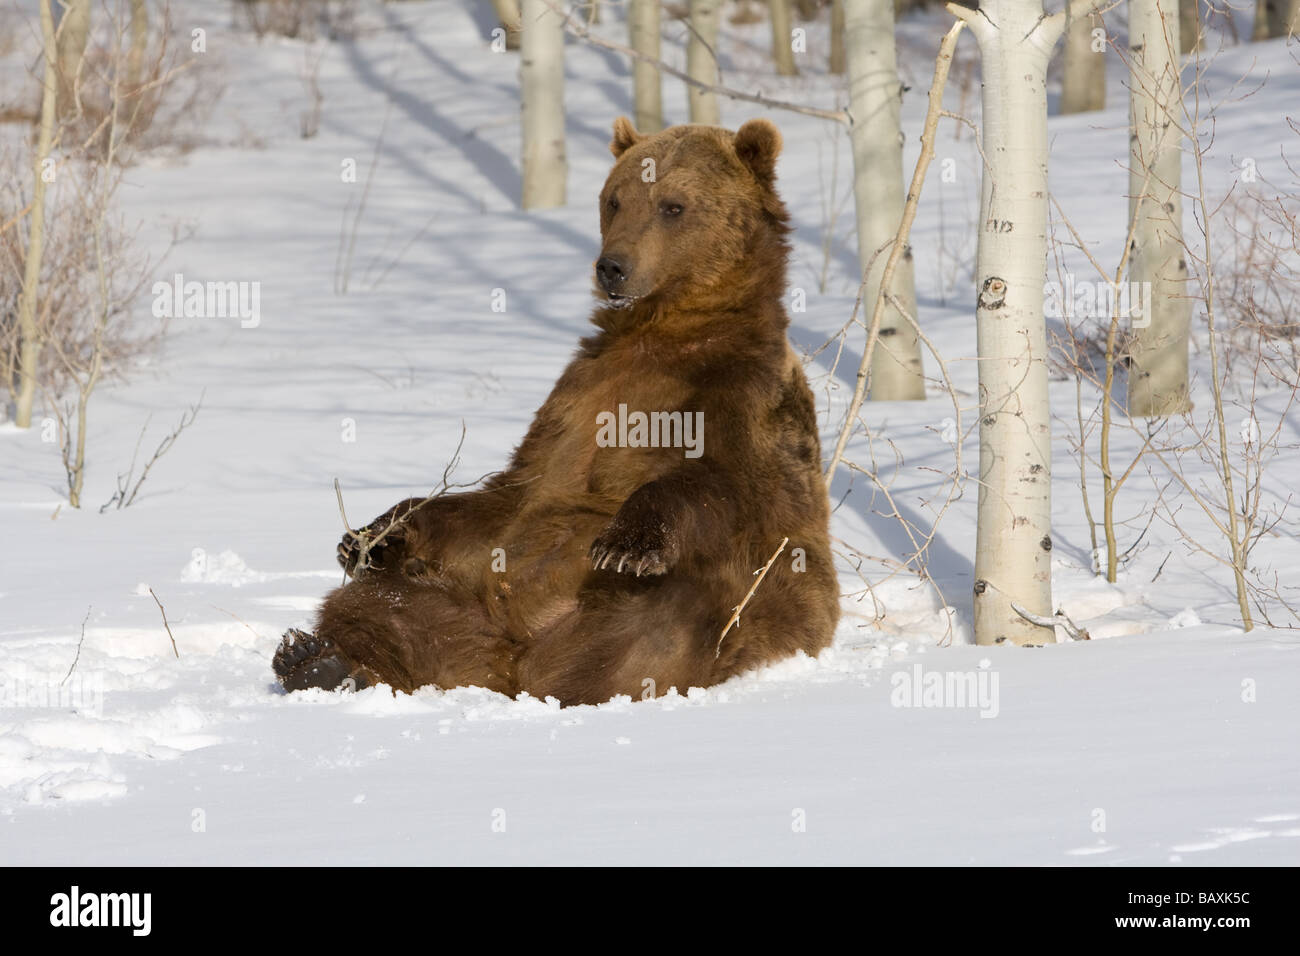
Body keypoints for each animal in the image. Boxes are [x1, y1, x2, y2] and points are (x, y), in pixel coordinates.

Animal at [273, 116, 840, 706]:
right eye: (615, 199)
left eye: (673, 205)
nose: (612, 266)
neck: (664, 331)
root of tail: (511, 663)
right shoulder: (578, 397)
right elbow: (510, 494)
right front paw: (368, 535)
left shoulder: (742, 399)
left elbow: (721, 488)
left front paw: (624, 545)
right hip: (456, 606)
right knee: (381, 607)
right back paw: (318, 660)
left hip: (703, 607)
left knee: (660, 627)